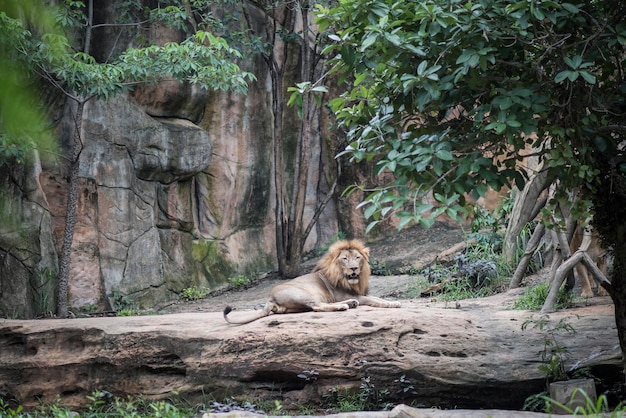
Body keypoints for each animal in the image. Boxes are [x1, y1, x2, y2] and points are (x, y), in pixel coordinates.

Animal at [223, 240, 400, 324]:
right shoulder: (344, 294)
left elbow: (376, 297)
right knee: (317, 306)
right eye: (344, 259)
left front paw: (394, 302)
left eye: (357, 257)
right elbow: (373, 300)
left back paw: (351, 303)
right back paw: (344, 306)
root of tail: (270, 299)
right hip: (305, 294)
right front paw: (392, 304)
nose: (354, 268)